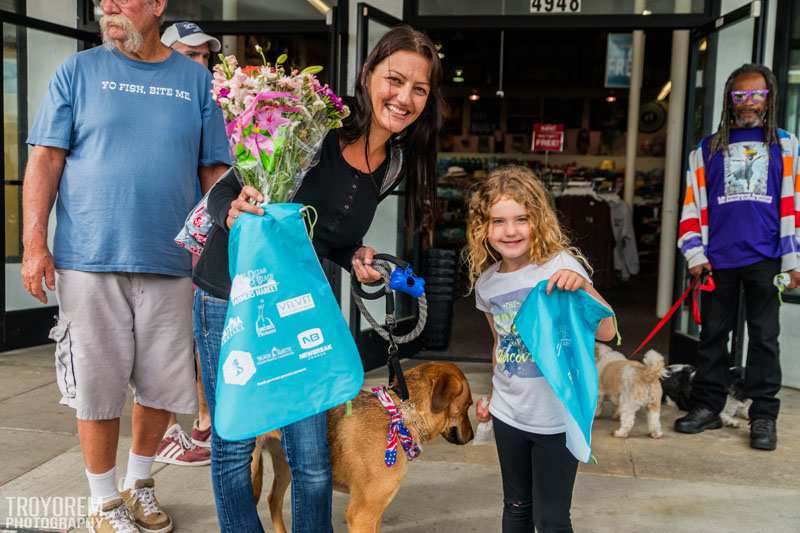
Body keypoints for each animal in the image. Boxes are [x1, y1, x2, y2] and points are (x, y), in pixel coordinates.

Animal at [250, 362, 476, 532]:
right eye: (468, 405)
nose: (472, 436)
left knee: (273, 500)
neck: (401, 416)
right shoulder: (362, 514)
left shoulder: (376, 512)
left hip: (287, 463)